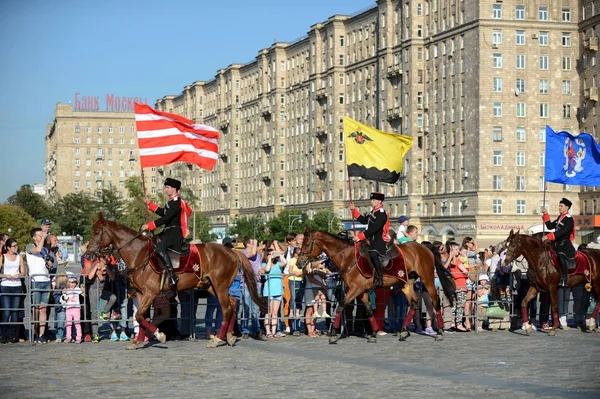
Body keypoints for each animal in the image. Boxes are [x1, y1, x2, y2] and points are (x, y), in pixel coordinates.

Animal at [85, 214, 264, 348]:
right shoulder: (142, 294)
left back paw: (218, 338)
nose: (88, 254)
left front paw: (159, 335)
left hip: (219, 286)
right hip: (212, 286)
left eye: (96, 232)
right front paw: (138, 341)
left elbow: (140, 316)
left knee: (227, 309)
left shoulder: (151, 292)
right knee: (233, 303)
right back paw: (229, 335)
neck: (139, 254)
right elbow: (141, 317)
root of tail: (232, 252)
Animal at [300, 228, 454, 344]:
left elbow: (341, 305)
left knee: (435, 301)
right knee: (414, 302)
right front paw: (373, 333)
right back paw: (404, 331)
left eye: (306, 244)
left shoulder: (356, 289)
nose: (300, 262)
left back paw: (439, 332)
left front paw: (333, 333)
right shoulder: (361, 291)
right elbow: (368, 310)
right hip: (406, 283)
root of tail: (423, 246)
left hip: (427, 279)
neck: (348, 257)